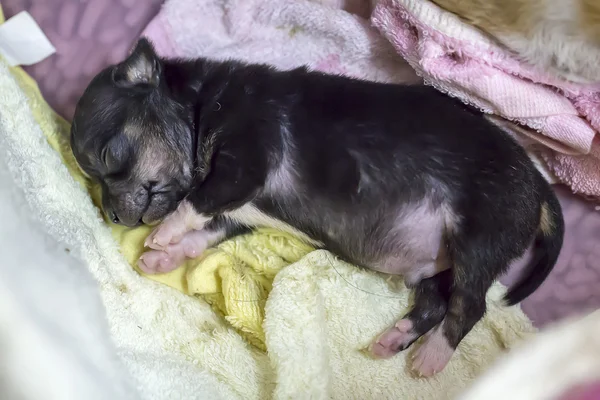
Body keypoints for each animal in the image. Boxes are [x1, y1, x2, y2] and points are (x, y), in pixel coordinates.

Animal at [70, 39, 564, 376]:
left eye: (109, 159)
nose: (112, 216)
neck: (200, 106)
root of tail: (539, 184)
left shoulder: (243, 164)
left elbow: (191, 205)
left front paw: (161, 237)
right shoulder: (234, 211)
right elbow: (202, 233)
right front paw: (164, 257)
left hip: (478, 238)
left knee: (470, 306)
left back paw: (432, 356)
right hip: (436, 269)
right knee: (435, 304)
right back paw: (394, 340)